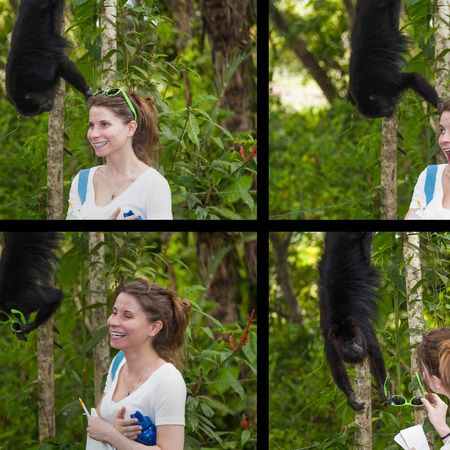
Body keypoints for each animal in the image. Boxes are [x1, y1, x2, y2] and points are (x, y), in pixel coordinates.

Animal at [318, 234, 388, 410]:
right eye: (348, 344)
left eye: (356, 340)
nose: (356, 349)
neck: (341, 322)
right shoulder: (330, 339)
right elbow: (335, 366)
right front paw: (350, 396)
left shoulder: (363, 329)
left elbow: (374, 352)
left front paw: (382, 387)